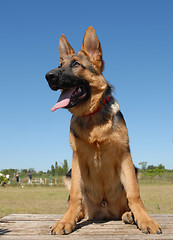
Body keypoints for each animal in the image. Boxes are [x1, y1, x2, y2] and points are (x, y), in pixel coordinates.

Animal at [45, 27, 162, 235]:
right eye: (60, 64)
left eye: (76, 64)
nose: (48, 76)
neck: (93, 119)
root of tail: (105, 211)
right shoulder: (77, 159)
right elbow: (75, 195)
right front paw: (66, 221)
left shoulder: (125, 156)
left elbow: (134, 194)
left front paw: (145, 219)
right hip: (69, 174)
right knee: (79, 203)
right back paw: (76, 216)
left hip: (134, 170)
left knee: (127, 202)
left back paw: (129, 215)